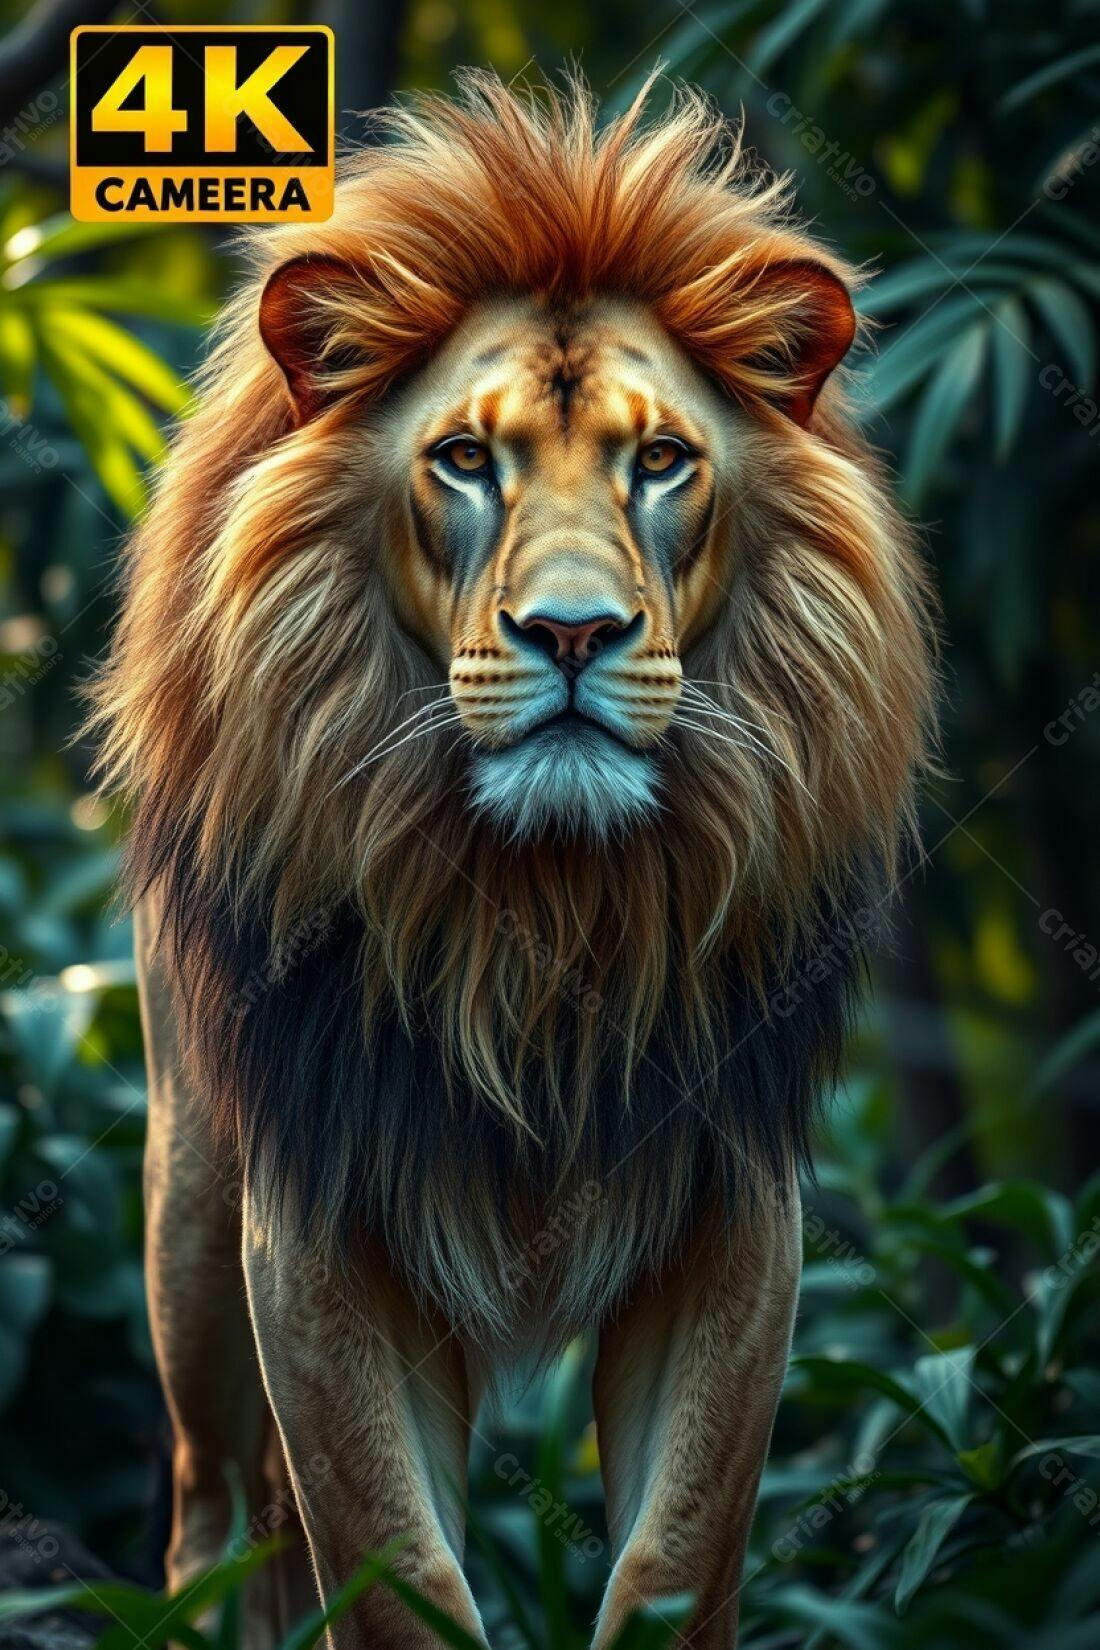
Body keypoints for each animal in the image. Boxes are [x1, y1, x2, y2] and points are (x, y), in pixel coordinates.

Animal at [89, 73, 934, 1650]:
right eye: (465, 459)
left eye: (659, 460)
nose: (574, 632)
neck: (545, 917)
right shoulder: (314, 1216)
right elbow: (399, 1572)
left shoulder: (735, 1214)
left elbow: (672, 1562)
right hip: (190, 1209)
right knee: (208, 1501)